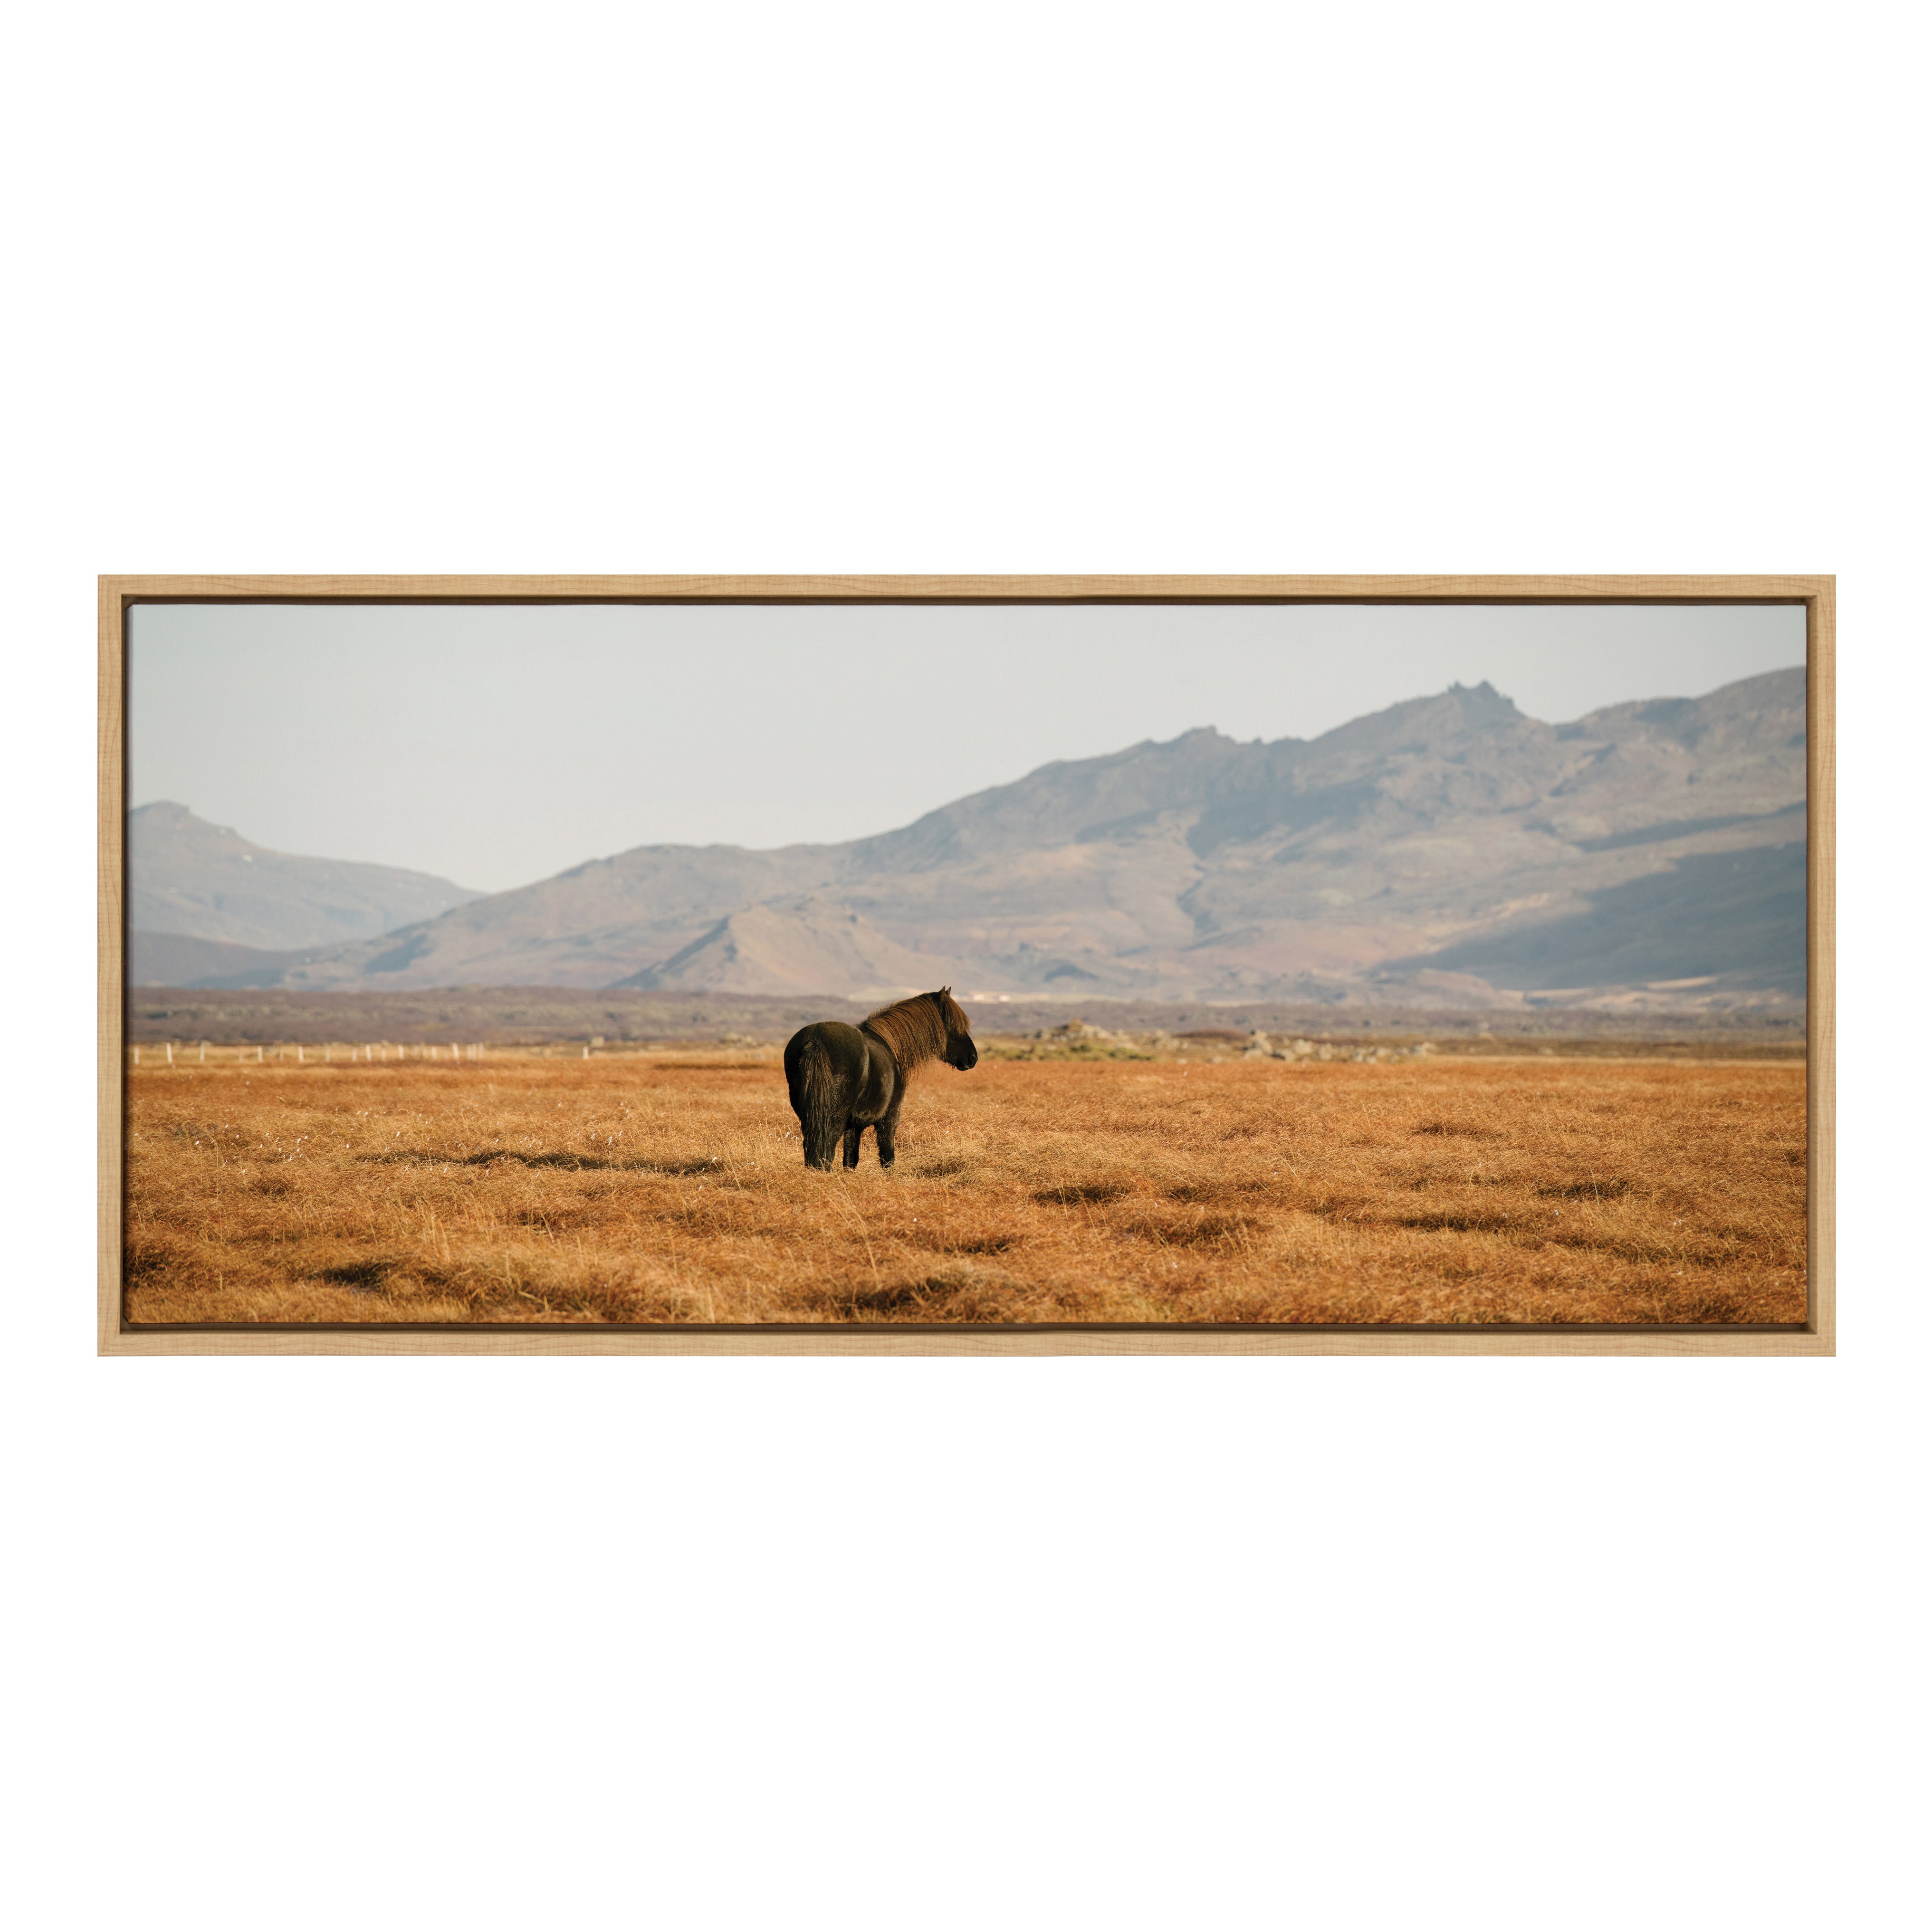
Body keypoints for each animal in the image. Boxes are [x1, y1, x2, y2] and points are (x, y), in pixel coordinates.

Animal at [784, 987, 977, 1170]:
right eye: (953, 1025)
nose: (973, 1057)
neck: (892, 1046)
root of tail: (815, 1042)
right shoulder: (890, 1117)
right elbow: (887, 1157)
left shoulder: (853, 1127)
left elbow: (850, 1160)